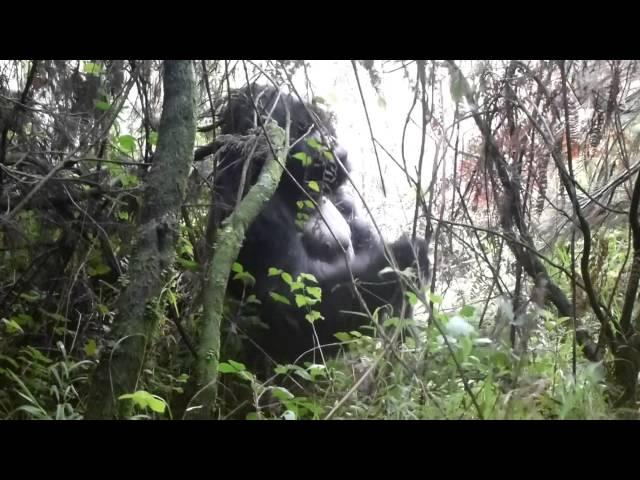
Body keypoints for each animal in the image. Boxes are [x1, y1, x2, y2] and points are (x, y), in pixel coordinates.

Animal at [212, 83, 428, 372]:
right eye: (301, 128)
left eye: (318, 124)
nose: (328, 141)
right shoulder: (250, 198)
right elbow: (289, 298)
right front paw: (403, 258)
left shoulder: (344, 200)